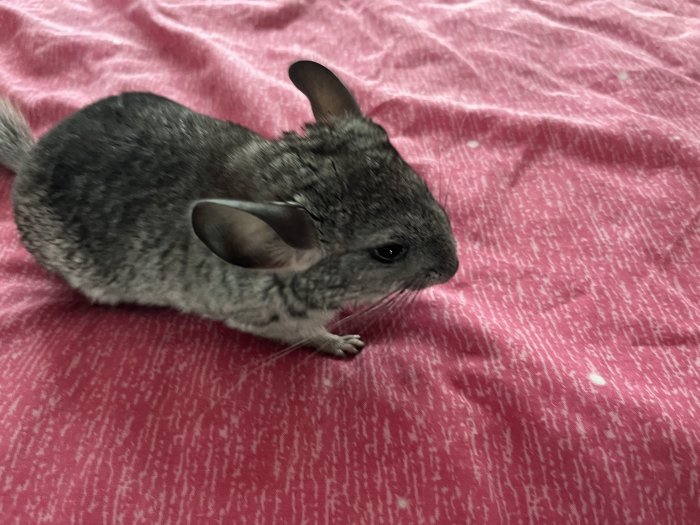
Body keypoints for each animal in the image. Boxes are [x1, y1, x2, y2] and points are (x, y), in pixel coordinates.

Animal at [0, 60, 458, 357]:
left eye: (424, 188)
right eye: (389, 251)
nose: (454, 268)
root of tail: (32, 155)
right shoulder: (265, 320)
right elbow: (308, 335)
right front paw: (343, 344)